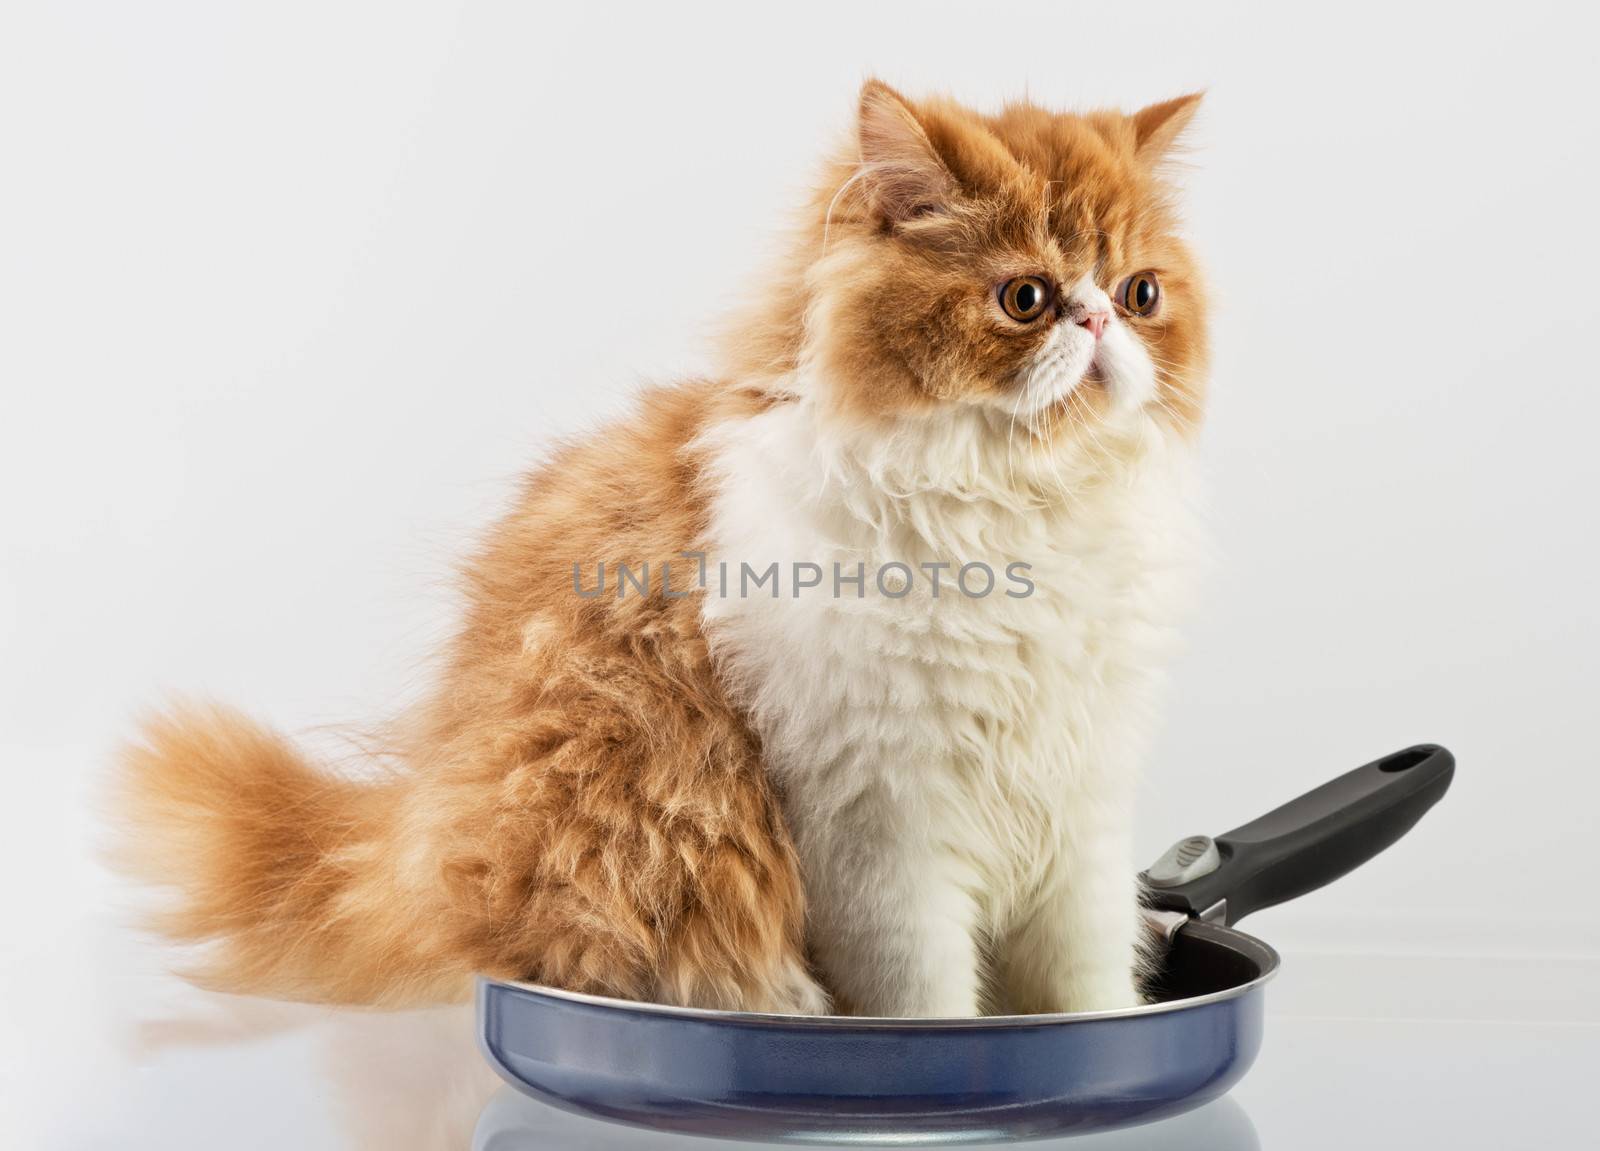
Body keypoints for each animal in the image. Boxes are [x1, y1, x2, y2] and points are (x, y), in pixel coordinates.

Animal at [118, 78, 1203, 1018]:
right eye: (1025, 298)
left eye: (1140, 293)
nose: (1098, 319)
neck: (1021, 503)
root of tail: (413, 841)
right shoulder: (881, 822)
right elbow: (924, 1000)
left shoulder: (1082, 809)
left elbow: (1090, 985)